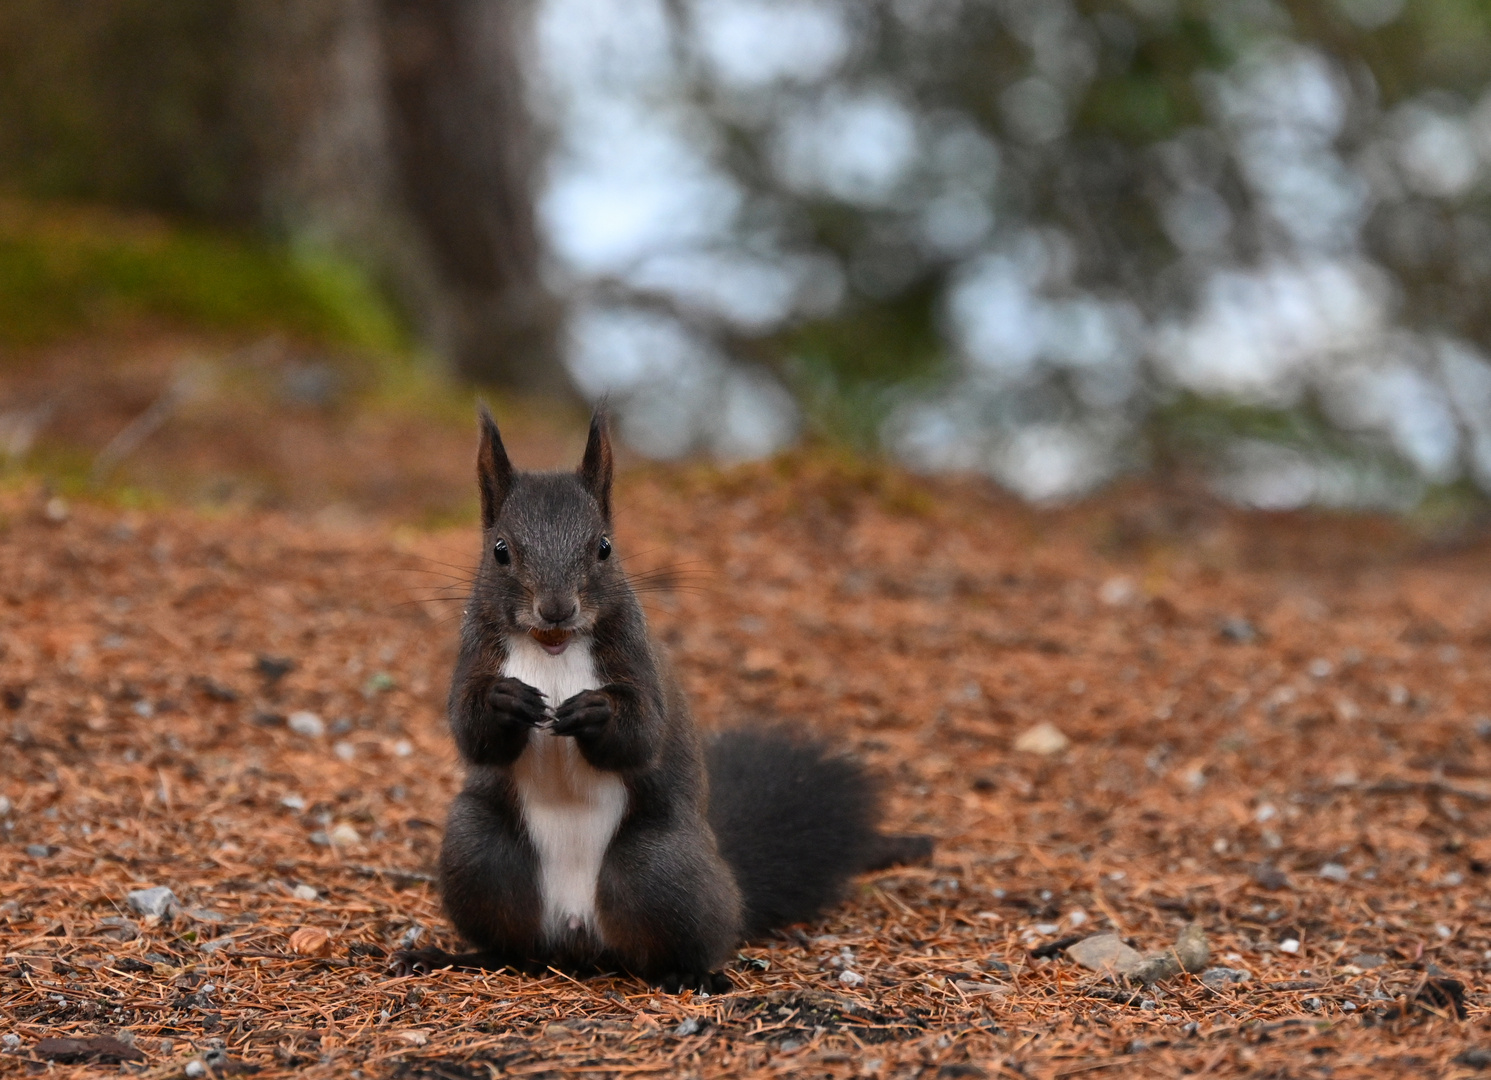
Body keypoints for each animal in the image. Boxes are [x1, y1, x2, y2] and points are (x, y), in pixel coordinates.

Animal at [393, 408, 930, 990]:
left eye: (604, 547)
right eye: (500, 551)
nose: (556, 608)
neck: (552, 651)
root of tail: (577, 933)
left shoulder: (638, 659)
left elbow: (644, 731)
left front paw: (597, 711)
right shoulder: (474, 655)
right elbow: (470, 730)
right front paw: (503, 701)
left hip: (660, 870)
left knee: (685, 940)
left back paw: (692, 977)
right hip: (478, 854)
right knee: (510, 948)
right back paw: (451, 958)